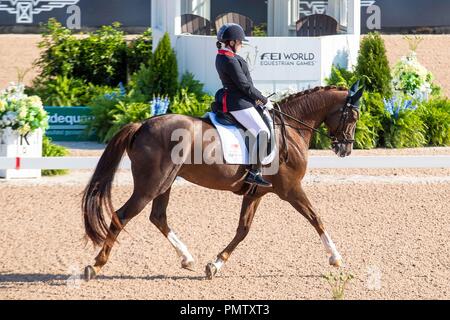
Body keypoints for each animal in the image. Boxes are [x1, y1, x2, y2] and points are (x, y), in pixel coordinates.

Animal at [81, 85, 362, 280]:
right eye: (353, 117)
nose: (345, 149)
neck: (292, 129)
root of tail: (142, 124)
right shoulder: (291, 189)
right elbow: (316, 218)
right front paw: (335, 257)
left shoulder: (255, 193)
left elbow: (243, 230)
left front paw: (215, 264)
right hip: (151, 185)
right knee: (121, 215)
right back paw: (95, 265)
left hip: (164, 184)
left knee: (158, 217)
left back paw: (187, 258)